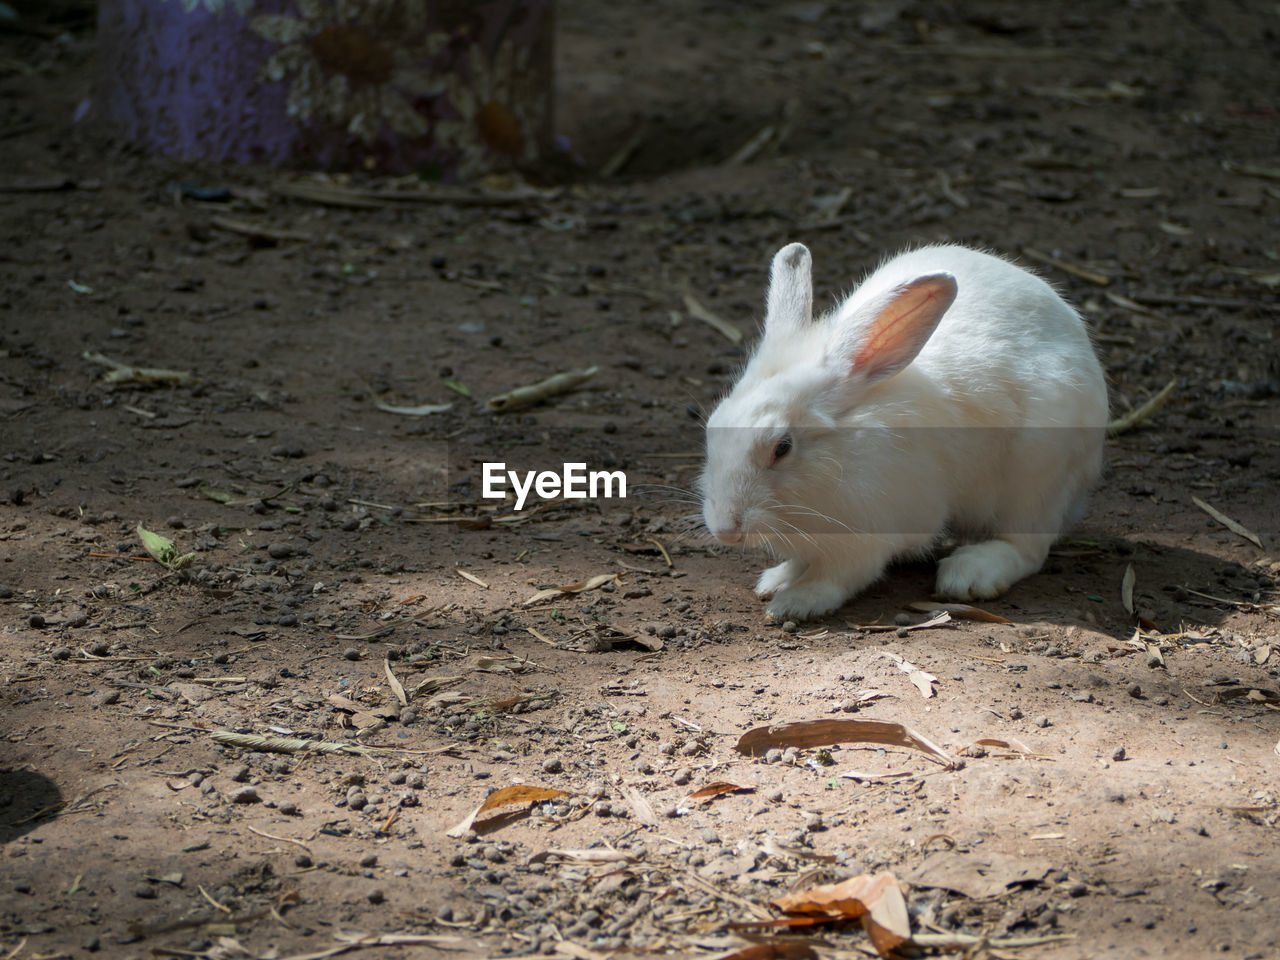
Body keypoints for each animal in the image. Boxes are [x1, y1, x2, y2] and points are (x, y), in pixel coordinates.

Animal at [701, 244, 1111, 619]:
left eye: (782, 447)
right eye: (712, 427)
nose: (725, 529)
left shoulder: (867, 536)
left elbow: (839, 578)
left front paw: (795, 602)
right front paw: (777, 579)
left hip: (1035, 480)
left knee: (1027, 547)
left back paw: (970, 573)